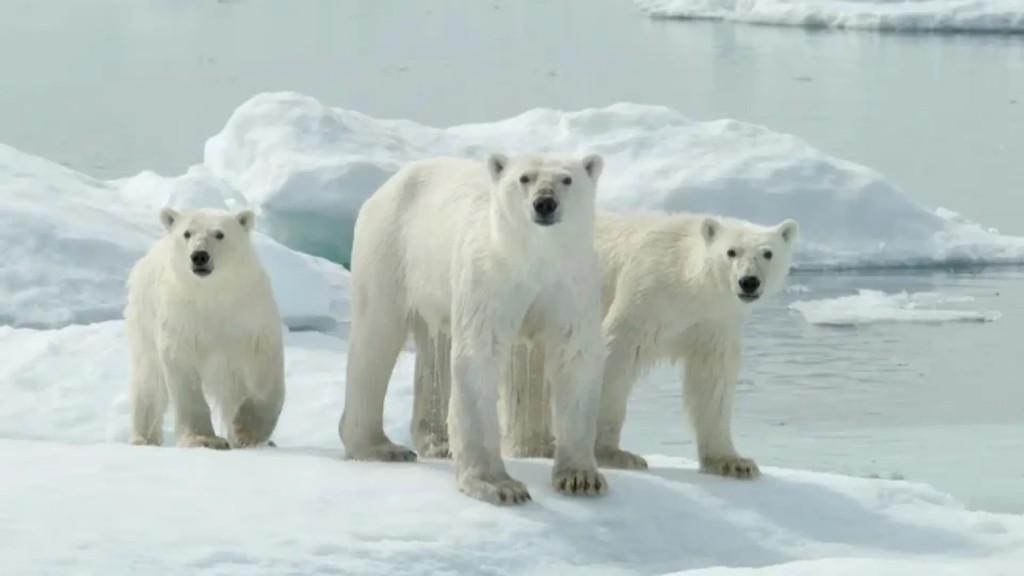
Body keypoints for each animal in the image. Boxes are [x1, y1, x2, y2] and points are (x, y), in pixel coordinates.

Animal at [128, 206, 290, 448]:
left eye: (220, 234)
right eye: (186, 233)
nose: (199, 256)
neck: (212, 294)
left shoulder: (249, 314)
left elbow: (265, 367)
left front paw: (246, 431)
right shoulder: (181, 319)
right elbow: (183, 372)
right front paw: (204, 439)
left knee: (231, 390)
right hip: (144, 317)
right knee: (149, 380)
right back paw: (143, 438)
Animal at [339, 151, 610, 502]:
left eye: (567, 178)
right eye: (524, 178)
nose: (545, 203)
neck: (533, 257)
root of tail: (391, 183)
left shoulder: (572, 283)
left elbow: (575, 355)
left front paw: (580, 477)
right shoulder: (490, 279)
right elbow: (480, 354)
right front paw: (498, 485)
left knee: (435, 351)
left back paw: (437, 442)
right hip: (392, 249)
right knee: (376, 336)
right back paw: (380, 447)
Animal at [411, 208, 802, 477]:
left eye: (767, 253)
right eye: (731, 252)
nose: (749, 282)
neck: (686, 284)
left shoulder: (713, 323)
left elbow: (712, 381)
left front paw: (732, 462)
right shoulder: (645, 295)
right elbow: (616, 355)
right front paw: (613, 453)